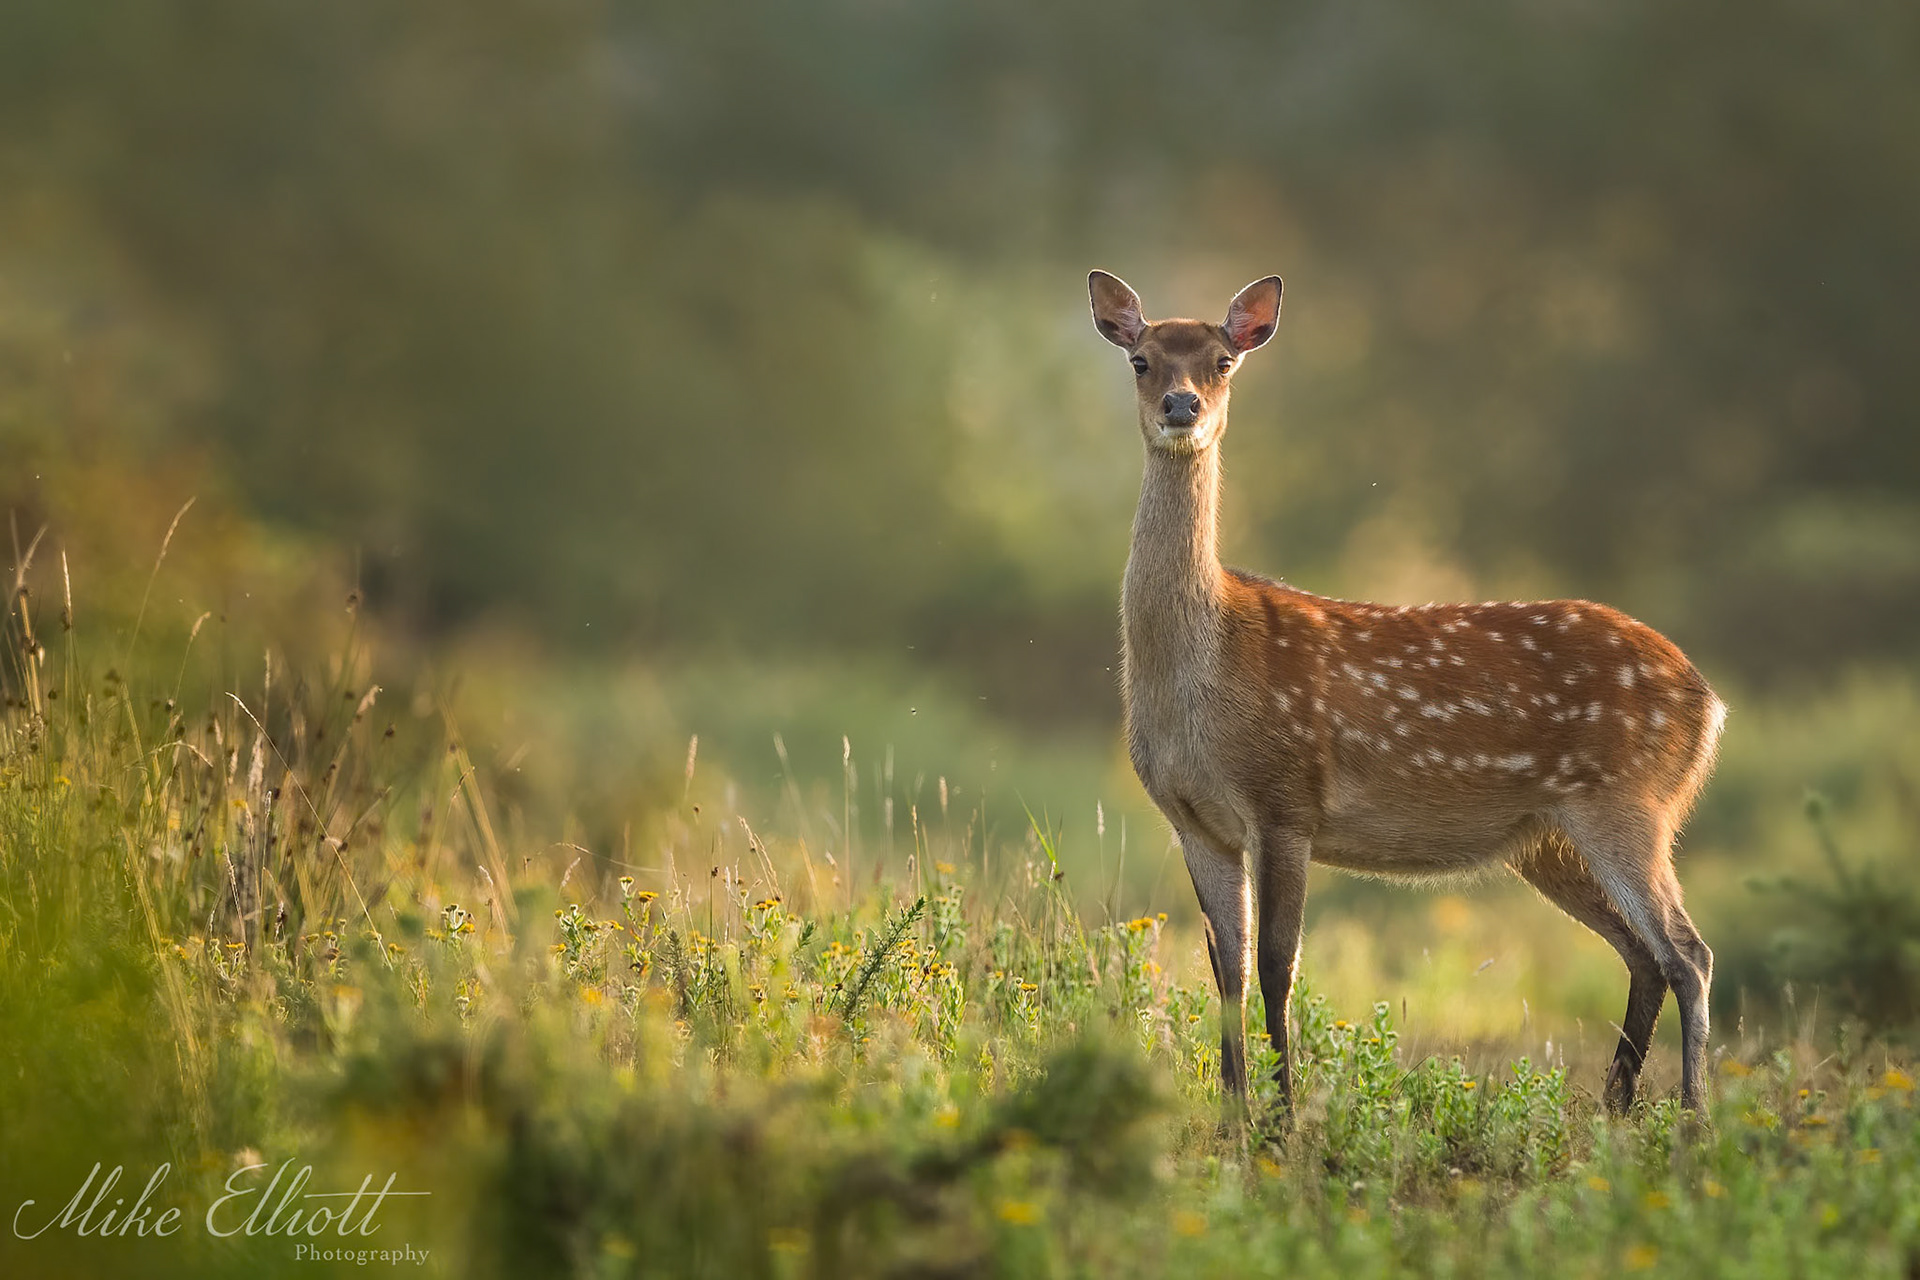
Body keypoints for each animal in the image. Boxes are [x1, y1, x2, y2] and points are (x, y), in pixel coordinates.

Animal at [1089, 269, 1726, 1119]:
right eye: (1141, 359)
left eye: (1223, 361)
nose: (1181, 406)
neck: (1198, 677)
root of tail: (1708, 702)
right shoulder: (1195, 822)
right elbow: (1226, 971)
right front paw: (1233, 1117)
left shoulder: (1286, 798)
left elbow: (1278, 967)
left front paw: (1284, 1120)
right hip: (1551, 838)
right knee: (1645, 955)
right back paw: (1617, 1108)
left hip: (1632, 802)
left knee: (1689, 952)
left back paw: (1690, 1118)